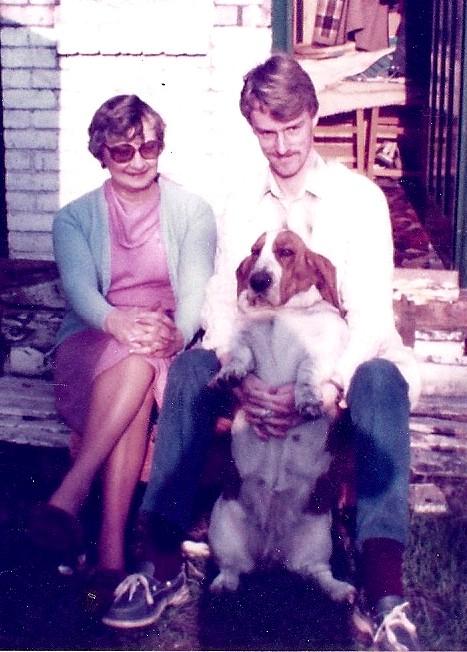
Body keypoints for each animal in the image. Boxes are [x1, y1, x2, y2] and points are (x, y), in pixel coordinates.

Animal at [207, 227, 354, 604]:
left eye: (286, 252)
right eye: (255, 251)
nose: (258, 281)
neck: (282, 314)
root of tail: (269, 556)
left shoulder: (320, 351)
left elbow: (308, 371)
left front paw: (309, 400)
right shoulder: (244, 340)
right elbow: (240, 354)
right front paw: (229, 374)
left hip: (319, 536)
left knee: (317, 572)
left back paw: (340, 589)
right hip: (222, 525)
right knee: (232, 569)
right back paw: (223, 585)